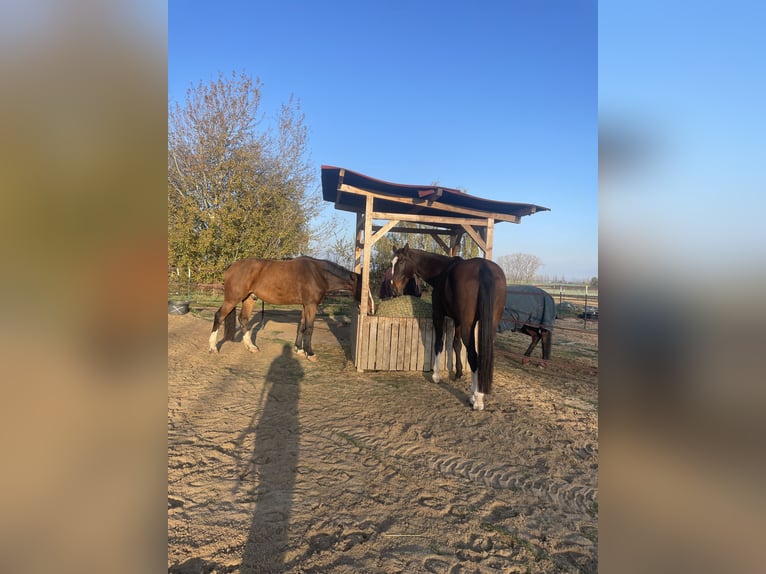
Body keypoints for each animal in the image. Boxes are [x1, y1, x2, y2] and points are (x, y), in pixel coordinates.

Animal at [210, 258, 372, 362]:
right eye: (363, 289)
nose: (371, 309)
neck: (318, 274)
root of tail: (231, 267)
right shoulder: (311, 305)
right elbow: (309, 328)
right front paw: (310, 353)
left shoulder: (305, 305)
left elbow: (302, 326)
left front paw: (299, 349)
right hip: (232, 299)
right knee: (219, 316)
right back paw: (213, 348)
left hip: (249, 299)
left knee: (243, 320)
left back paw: (251, 347)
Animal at [390, 245, 510, 412]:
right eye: (391, 263)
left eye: (401, 262)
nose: (394, 290)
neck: (441, 270)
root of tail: (484, 268)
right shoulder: (457, 320)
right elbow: (456, 344)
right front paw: (458, 372)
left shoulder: (438, 315)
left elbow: (439, 343)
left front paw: (436, 375)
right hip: (489, 327)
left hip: (467, 327)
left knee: (473, 356)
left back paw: (476, 398)